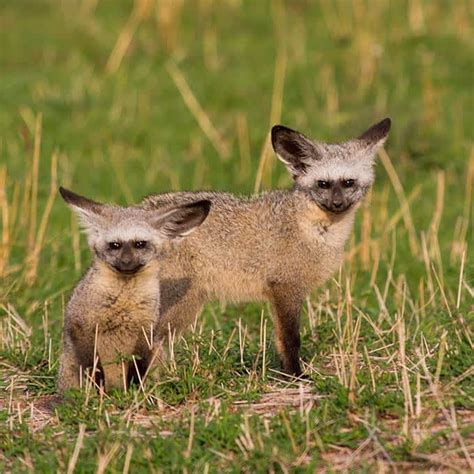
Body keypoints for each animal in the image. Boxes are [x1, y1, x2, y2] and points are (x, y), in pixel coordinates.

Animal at [141, 117, 392, 378]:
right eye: (323, 184)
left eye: (348, 183)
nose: (337, 203)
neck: (313, 230)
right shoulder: (286, 288)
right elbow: (290, 339)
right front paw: (295, 375)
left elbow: (281, 339)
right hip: (180, 305)